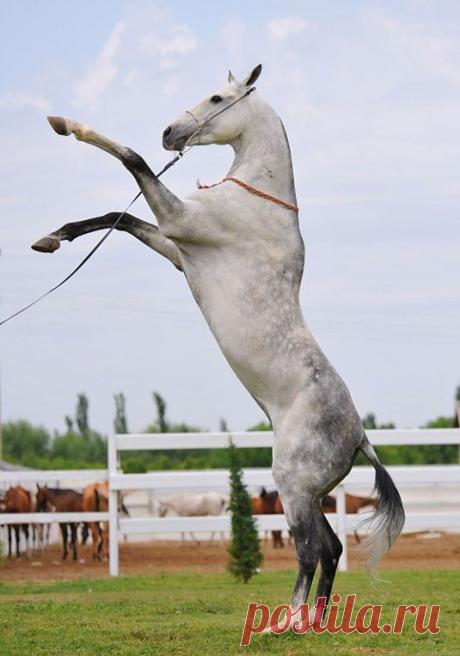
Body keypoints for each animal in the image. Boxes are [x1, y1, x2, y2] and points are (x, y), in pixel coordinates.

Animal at [33, 64, 405, 612]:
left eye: (216, 97)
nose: (170, 133)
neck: (255, 200)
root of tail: (360, 438)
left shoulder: (180, 222)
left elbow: (131, 161)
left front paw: (67, 125)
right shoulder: (176, 245)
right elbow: (121, 218)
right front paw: (54, 238)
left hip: (292, 486)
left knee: (309, 550)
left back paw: (285, 620)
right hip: (310, 494)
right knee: (332, 548)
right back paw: (313, 618)